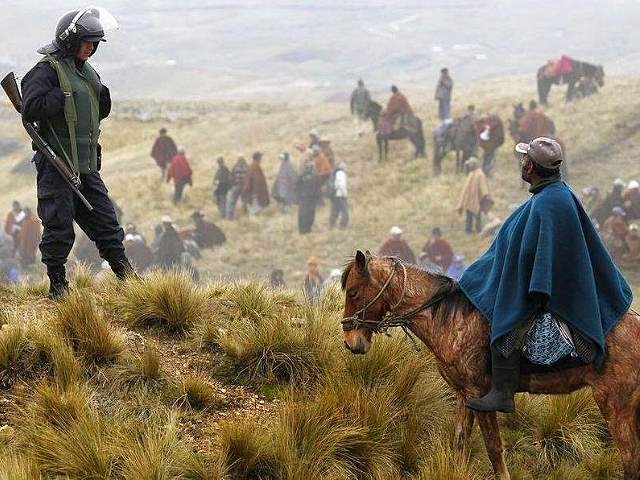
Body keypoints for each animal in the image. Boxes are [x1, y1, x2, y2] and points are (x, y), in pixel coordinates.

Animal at [342, 253, 640, 478]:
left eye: (353, 292)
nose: (351, 342)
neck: (453, 319)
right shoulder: (464, 395)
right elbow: (460, 444)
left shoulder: (480, 393)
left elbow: (494, 448)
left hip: (617, 406)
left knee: (630, 460)